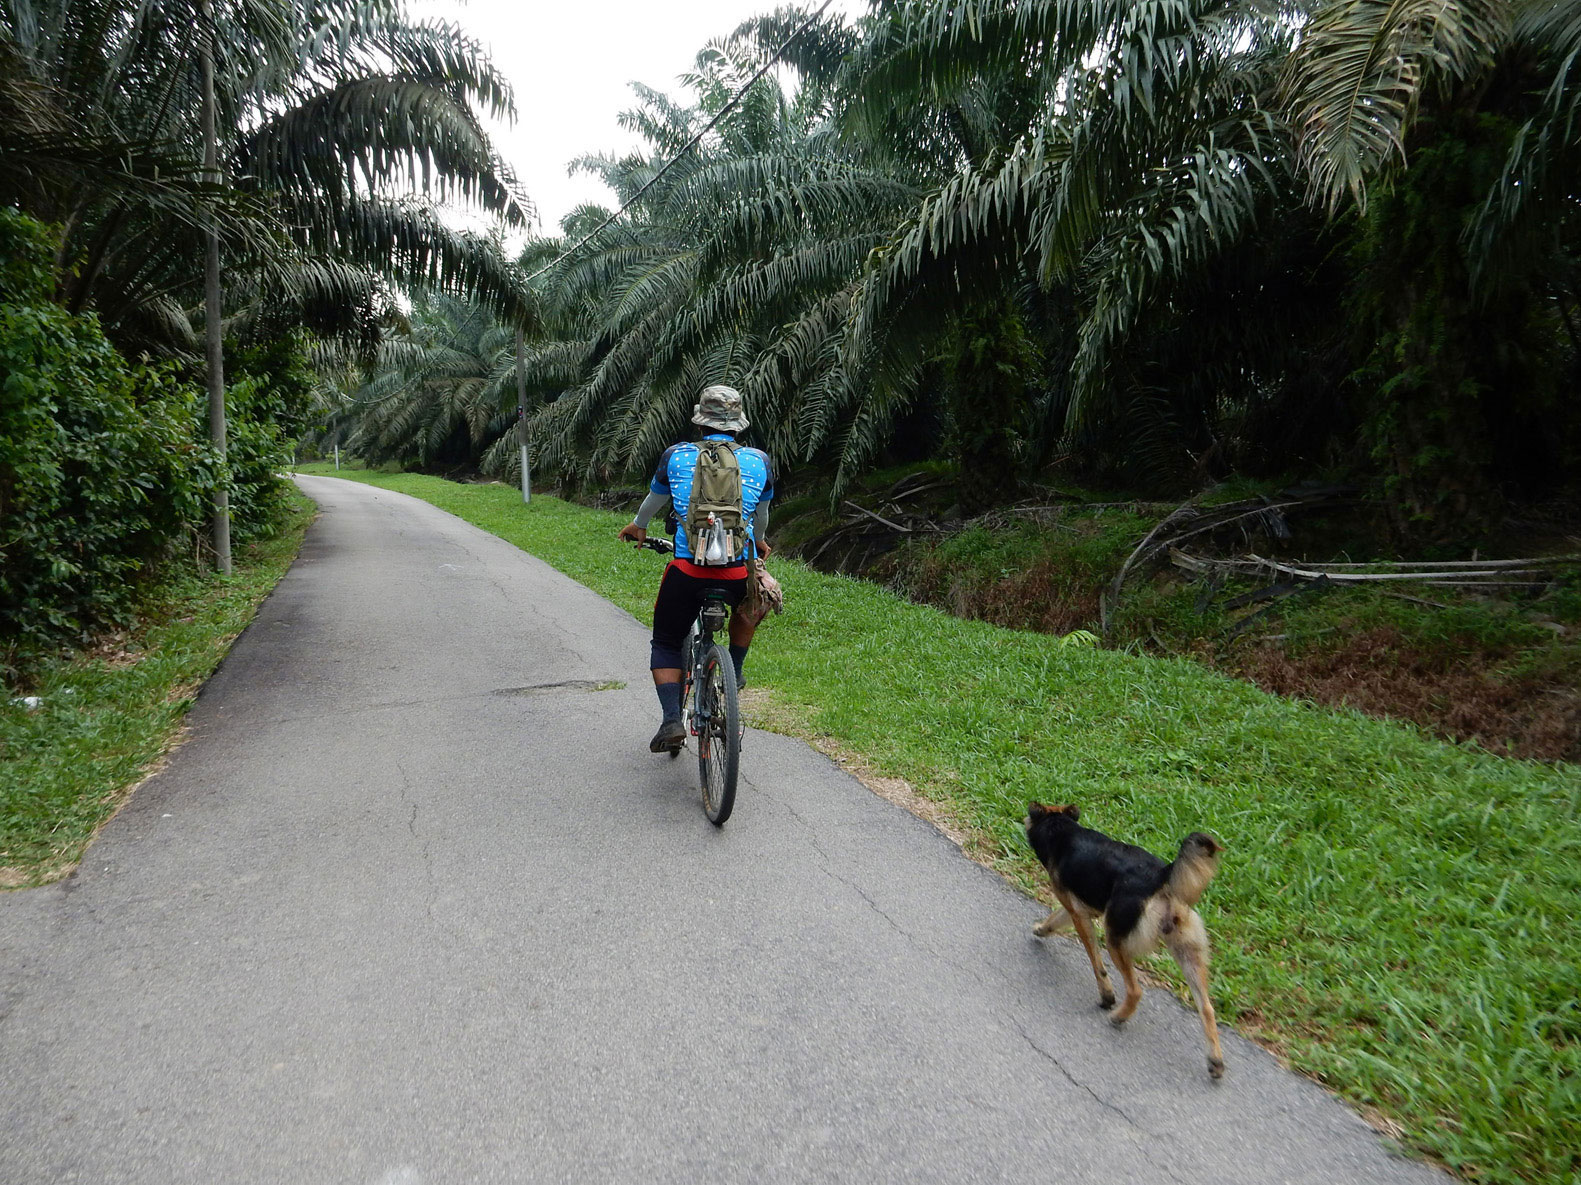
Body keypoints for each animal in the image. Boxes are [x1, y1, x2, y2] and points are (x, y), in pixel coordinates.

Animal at [1018, 802, 1226, 1080]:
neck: (1062, 829)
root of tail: (1162, 876)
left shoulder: (1078, 913)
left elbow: (1097, 964)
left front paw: (1106, 996)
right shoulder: (1080, 909)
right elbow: (1054, 919)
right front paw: (1041, 928)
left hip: (1115, 940)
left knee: (1136, 990)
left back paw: (1119, 1016)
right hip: (1187, 952)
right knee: (1207, 1009)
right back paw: (1215, 1060)